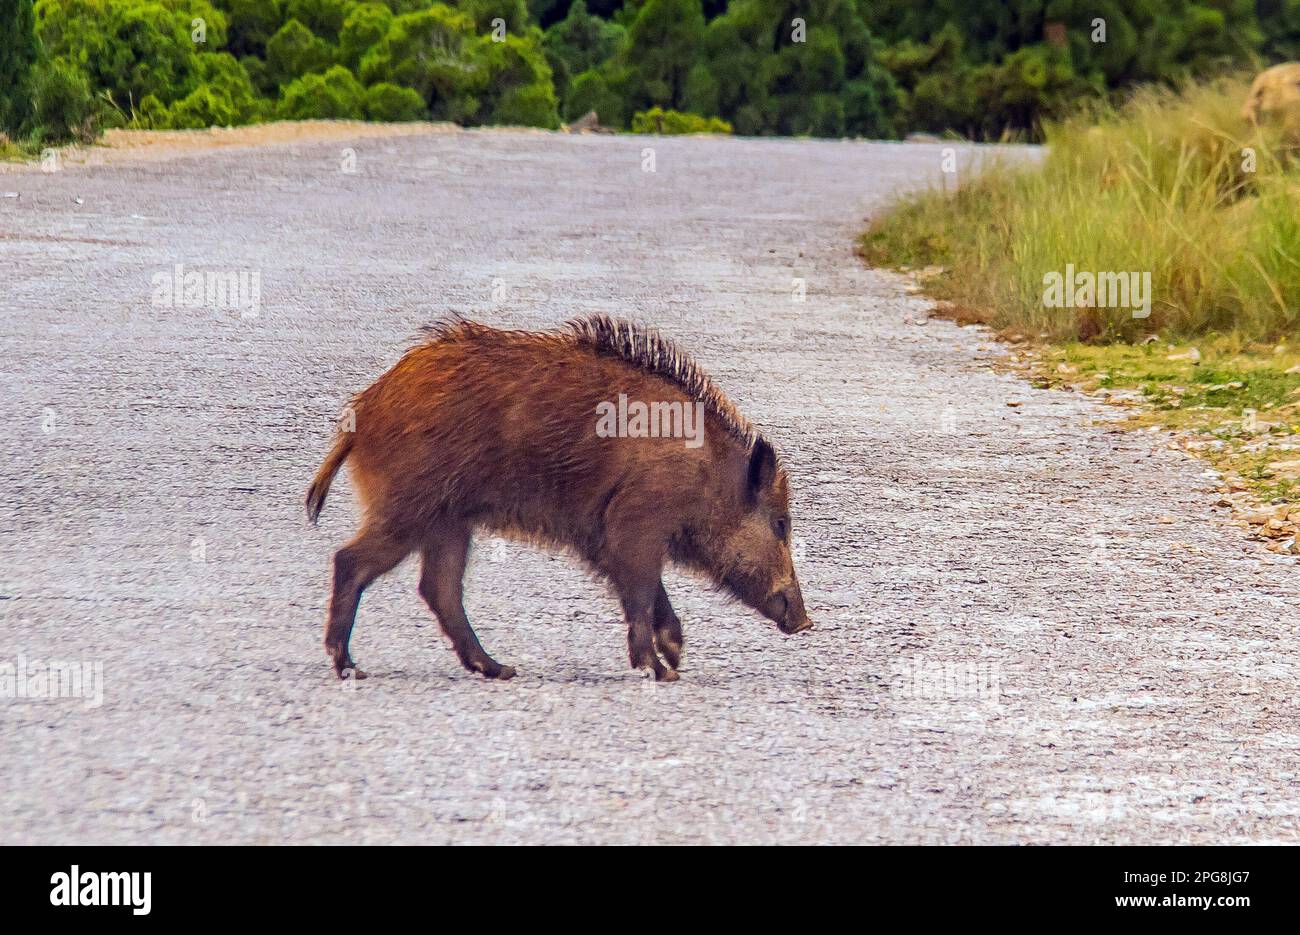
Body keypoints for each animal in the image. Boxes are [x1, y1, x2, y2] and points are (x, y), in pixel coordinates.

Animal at [306, 315, 812, 683]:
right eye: (781, 523)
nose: (805, 622)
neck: (706, 476)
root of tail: (362, 411)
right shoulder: (634, 525)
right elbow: (642, 591)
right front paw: (662, 671)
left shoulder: (605, 539)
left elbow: (649, 592)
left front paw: (675, 655)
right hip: (409, 505)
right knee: (352, 561)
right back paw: (349, 667)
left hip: (449, 520)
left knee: (439, 588)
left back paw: (500, 669)